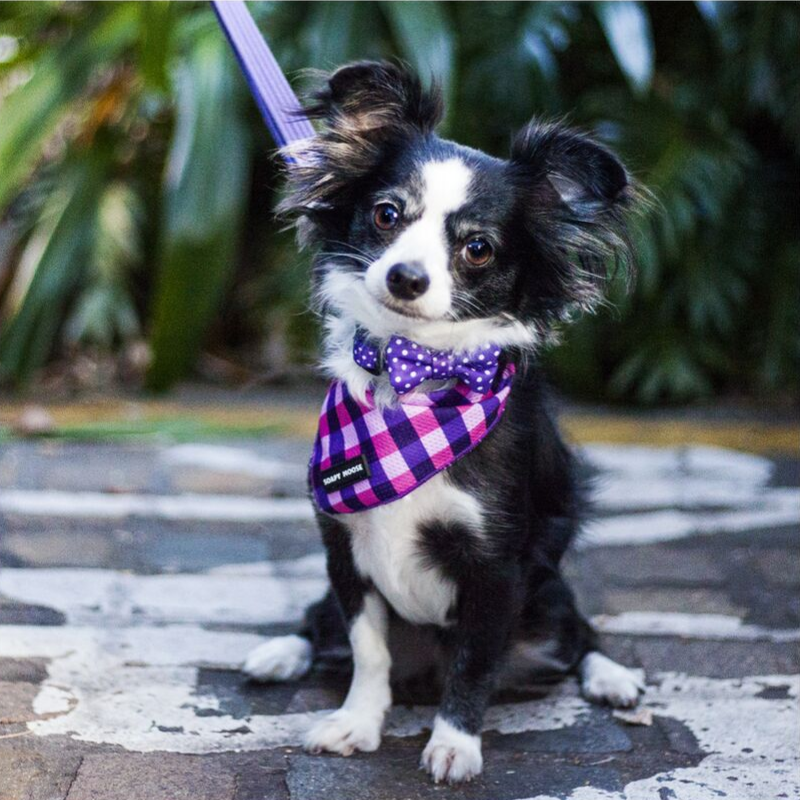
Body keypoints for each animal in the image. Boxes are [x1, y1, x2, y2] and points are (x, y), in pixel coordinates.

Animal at [242, 61, 644, 780]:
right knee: (321, 625)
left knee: (581, 634)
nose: (406, 276)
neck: (416, 385)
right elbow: (369, 651)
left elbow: (474, 663)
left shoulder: (496, 567)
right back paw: (279, 653)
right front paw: (357, 722)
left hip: (546, 607)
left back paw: (613, 677)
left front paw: (455, 743)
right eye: (386, 214)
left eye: (477, 248)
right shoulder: (345, 548)